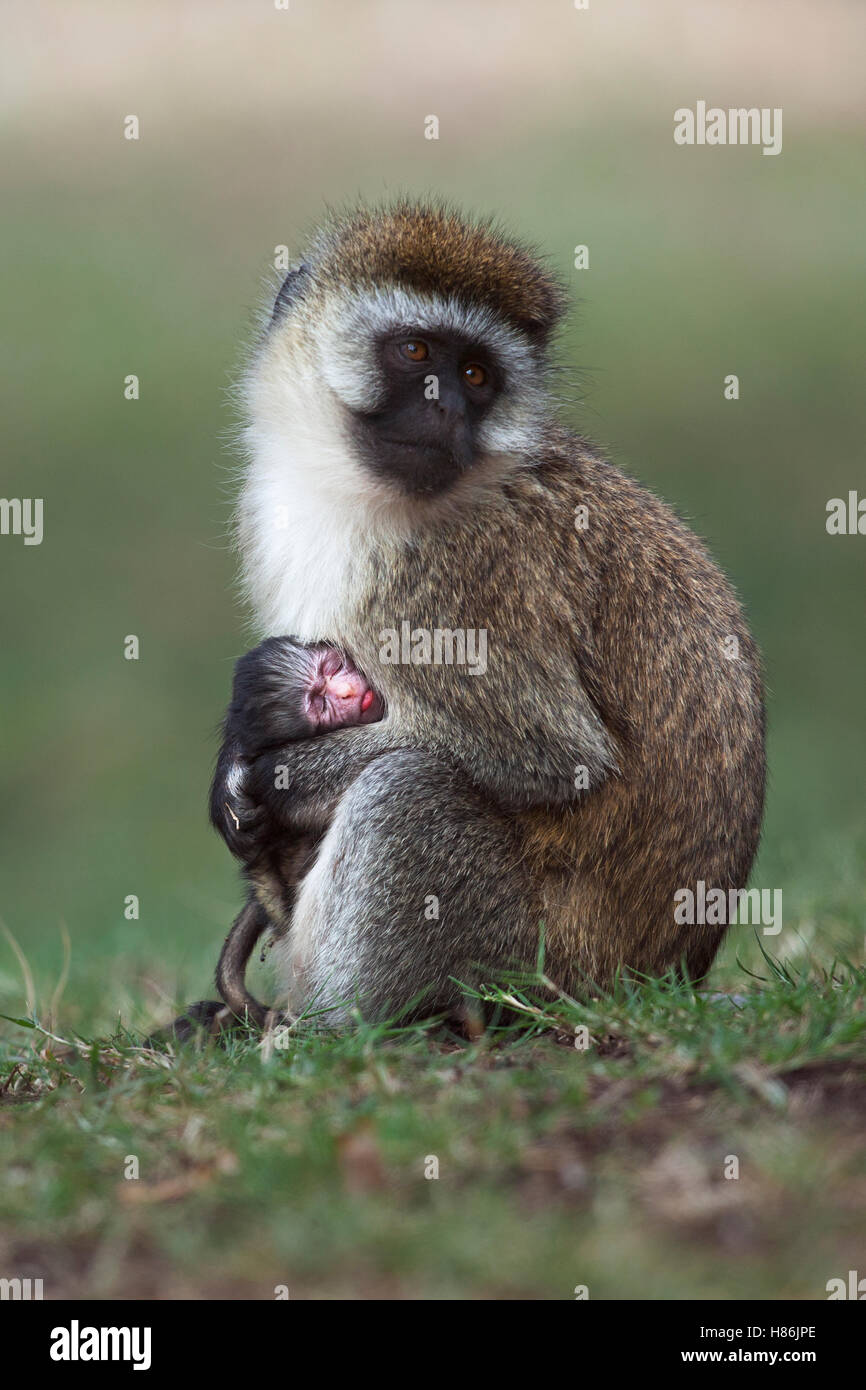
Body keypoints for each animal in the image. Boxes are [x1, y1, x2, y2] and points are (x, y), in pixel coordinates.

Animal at [201, 199, 765, 1033]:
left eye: (475, 375)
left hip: (537, 963)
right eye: (414, 351)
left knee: (407, 789)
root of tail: (663, 977)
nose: (447, 406)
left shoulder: (462, 571)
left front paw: (268, 779)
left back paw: (342, 1028)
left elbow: (546, 755)